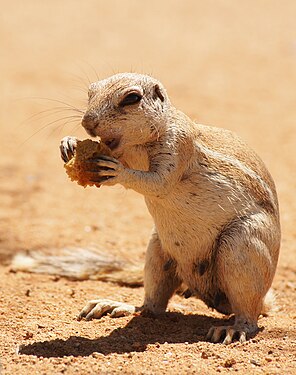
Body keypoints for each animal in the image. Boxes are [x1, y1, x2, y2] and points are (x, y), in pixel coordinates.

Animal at [17, 72, 280, 346]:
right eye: (90, 92)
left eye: (132, 98)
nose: (87, 122)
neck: (138, 145)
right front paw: (68, 143)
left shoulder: (178, 146)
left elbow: (158, 182)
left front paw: (117, 171)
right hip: (157, 251)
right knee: (151, 307)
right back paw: (115, 305)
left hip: (242, 248)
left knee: (248, 312)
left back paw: (233, 329)